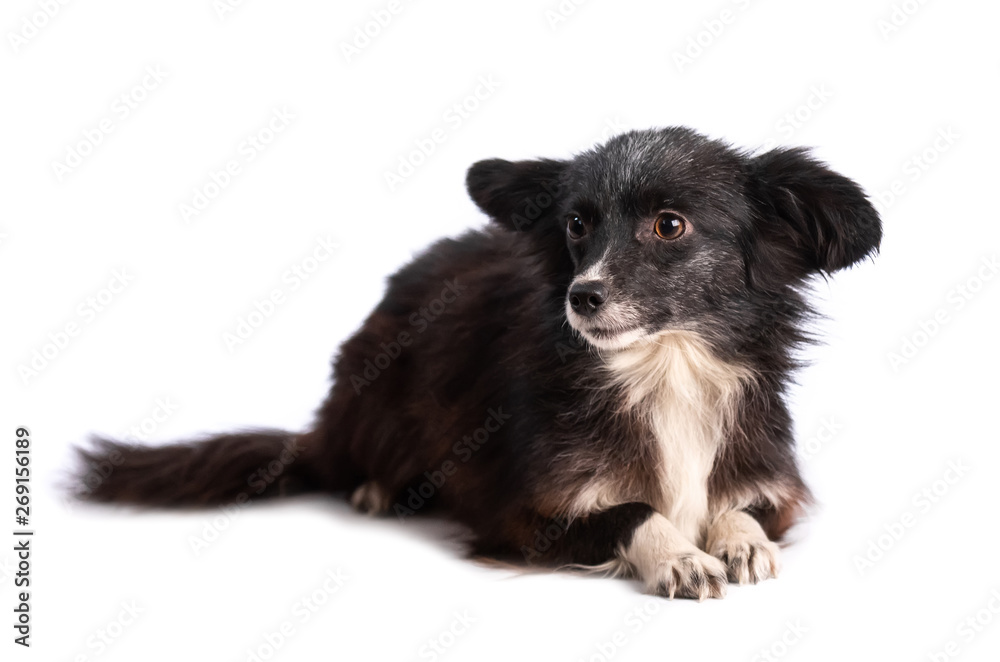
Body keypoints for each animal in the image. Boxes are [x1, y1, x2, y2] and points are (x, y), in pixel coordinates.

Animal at [78, 127, 884, 600]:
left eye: (669, 226)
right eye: (577, 224)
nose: (582, 296)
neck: (663, 370)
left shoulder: (780, 486)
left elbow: (740, 506)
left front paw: (735, 538)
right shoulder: (519, 512)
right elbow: (635, 510)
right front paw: (678, 554)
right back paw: (374, 487)